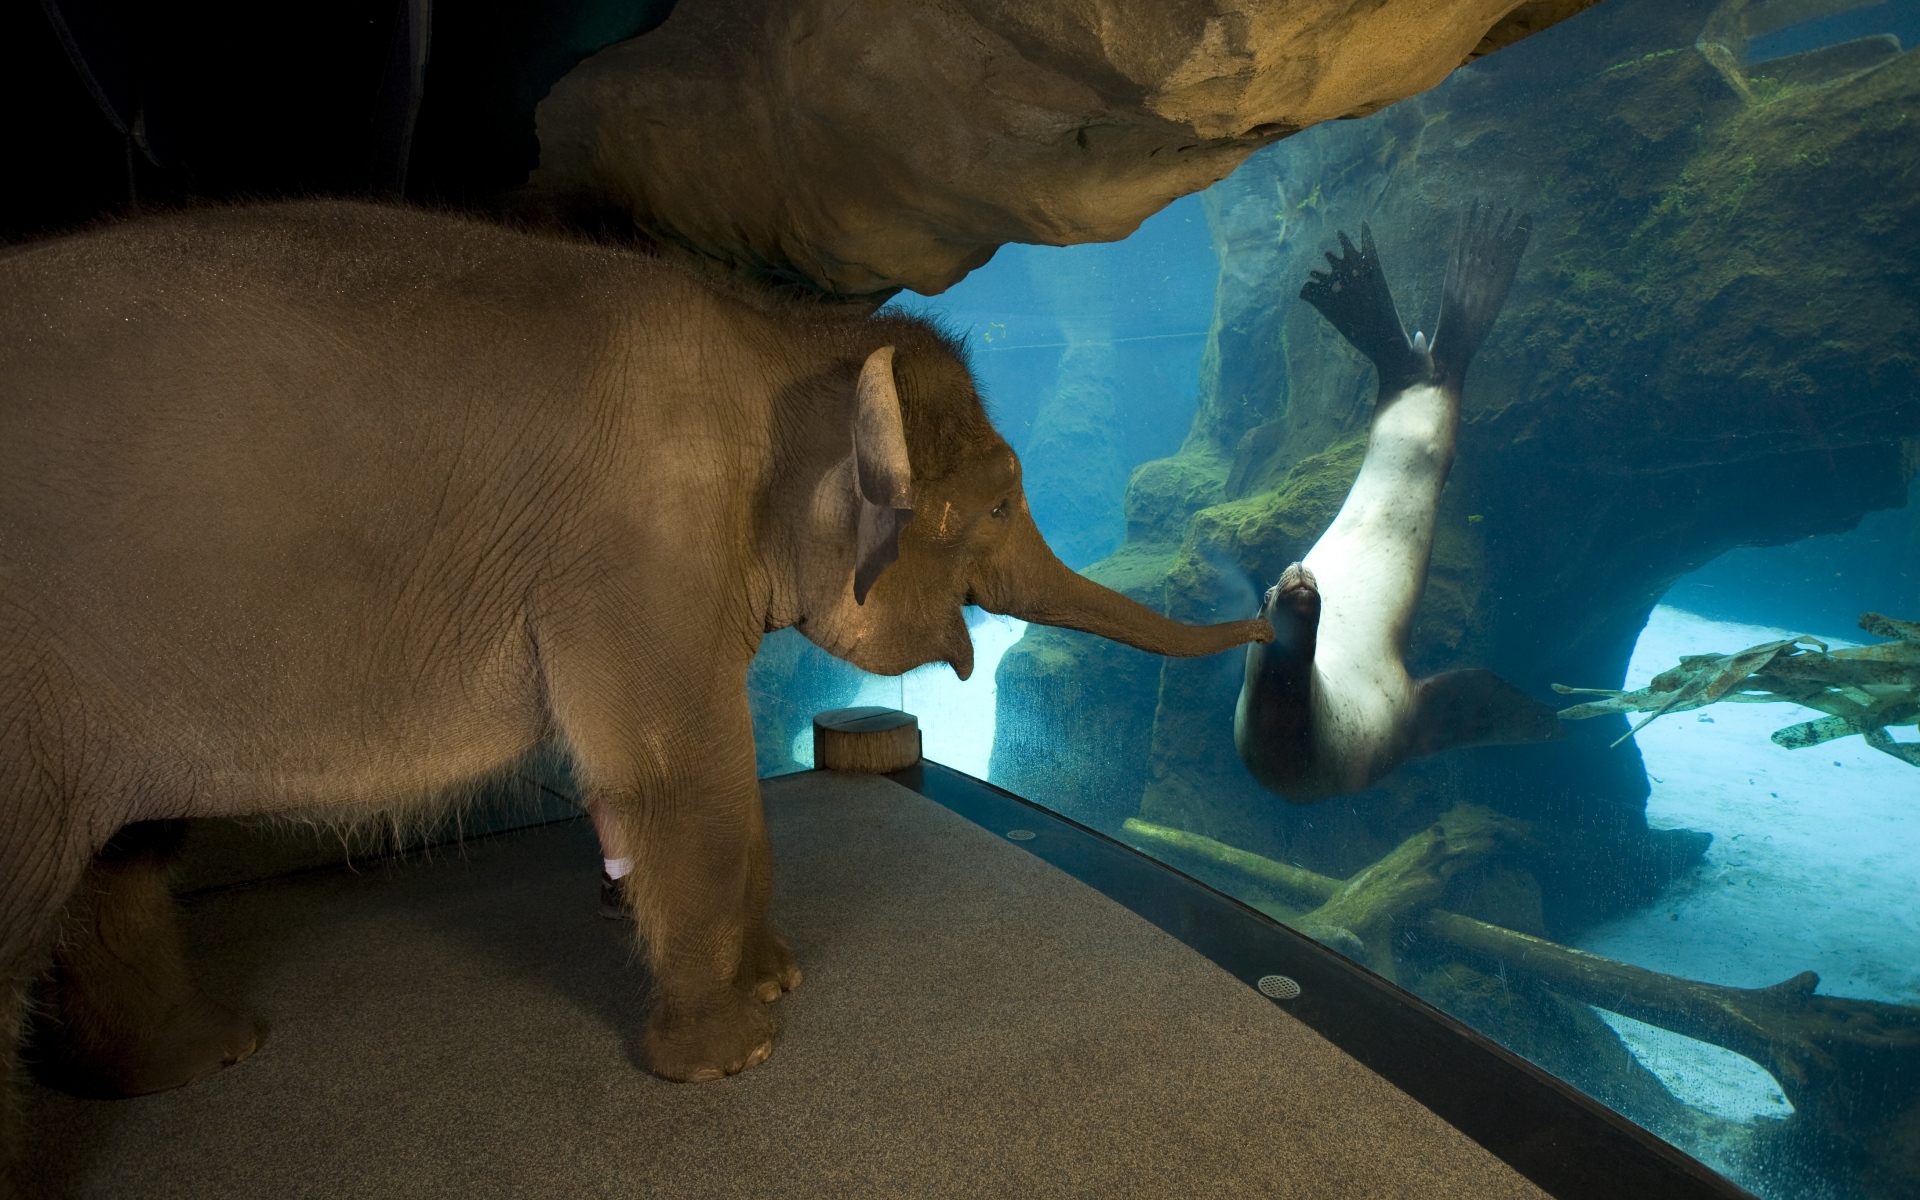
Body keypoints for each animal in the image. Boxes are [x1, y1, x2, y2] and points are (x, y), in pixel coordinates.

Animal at [0, 200, 1269, 1173]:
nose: (1278, 602)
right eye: (1003, 501)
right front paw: (732, 1055)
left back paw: (200, 1058)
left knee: (122, 859)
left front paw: (776, 980)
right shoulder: (633, 547)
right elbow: (678, 779)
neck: (775, 340)